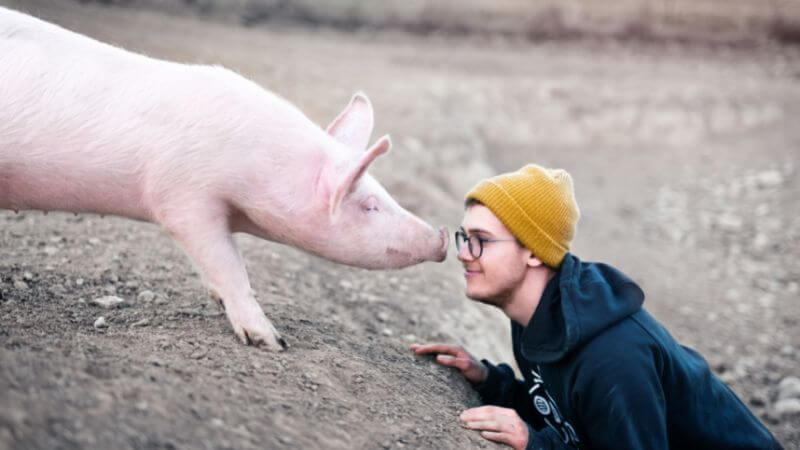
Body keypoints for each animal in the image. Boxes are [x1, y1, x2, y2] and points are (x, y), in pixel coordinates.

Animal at [0, 7, 450, 352]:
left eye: (384, 192)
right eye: (369, 205)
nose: (443, 237)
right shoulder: (182, 195)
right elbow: (228, 264)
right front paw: (273, 342)